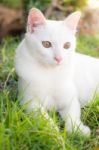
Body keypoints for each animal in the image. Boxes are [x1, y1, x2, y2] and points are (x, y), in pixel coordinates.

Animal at [14, 7, 99, 135]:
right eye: (46, 44)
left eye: (67, 45)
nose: (59, 58)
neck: (50, 73)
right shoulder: (28, 102)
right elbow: (42, 116)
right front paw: (51, 130)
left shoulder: (70, 100)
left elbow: (72, 116)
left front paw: (77, 129)